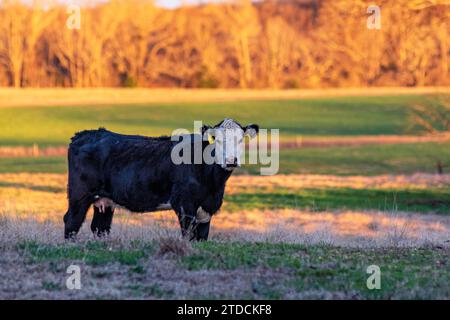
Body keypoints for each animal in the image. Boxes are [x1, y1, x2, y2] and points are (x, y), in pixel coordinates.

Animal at [64, 119, 258, 241]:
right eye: (217, 140)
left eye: (241, 140)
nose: (231, 160)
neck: (212, 182)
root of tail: (85, 134)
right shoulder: (184, 205)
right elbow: (188, 235)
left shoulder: (207, 209)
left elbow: (201, 237)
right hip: (79, 195)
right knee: (72, 221)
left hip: (104, 201)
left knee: (100, 227)